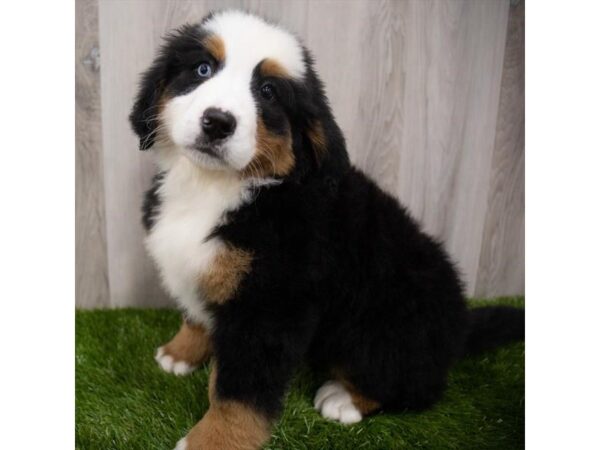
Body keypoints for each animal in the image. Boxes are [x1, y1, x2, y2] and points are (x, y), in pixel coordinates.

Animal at [129, 10, 524, 450]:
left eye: (268, 91)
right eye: (203, 69)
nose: (217, 122)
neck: (216, 188)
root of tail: (460, 326)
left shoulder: (270, 307)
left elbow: (239, 390)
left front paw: (214, 440)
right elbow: (196, 314)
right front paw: (180, 353)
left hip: (389, 322)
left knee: (416, 385)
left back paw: (345, 398)